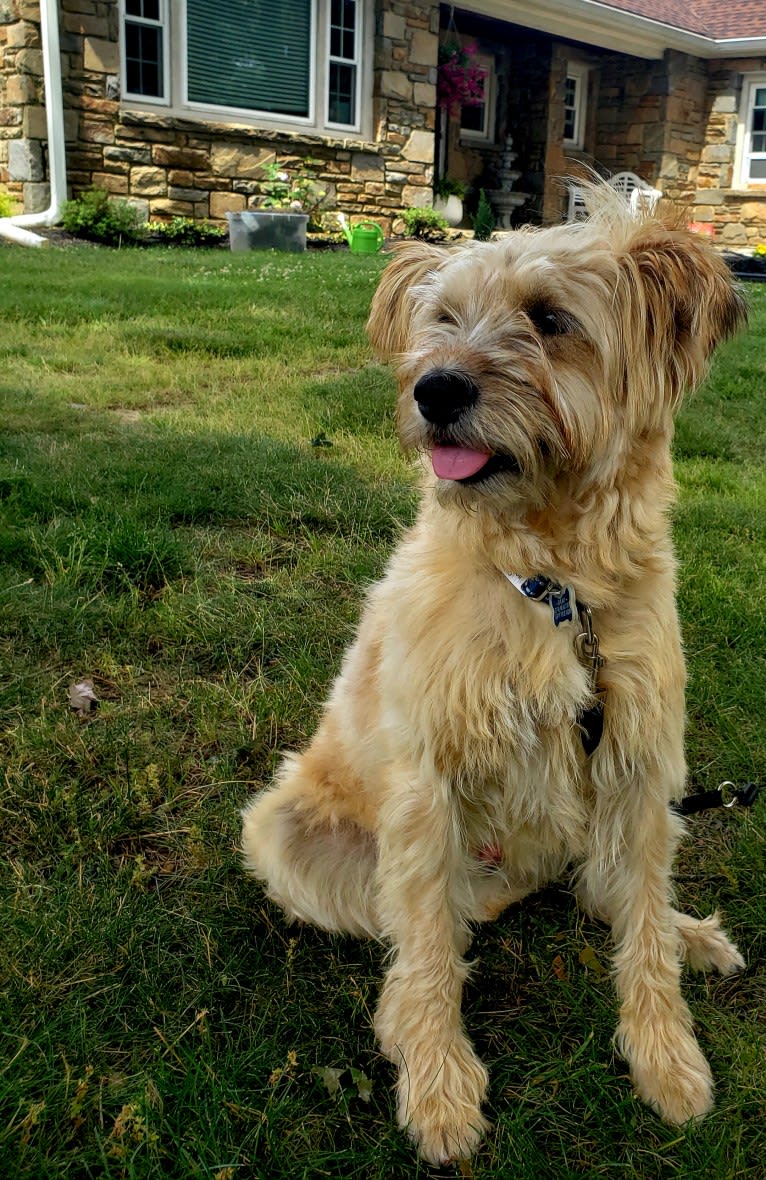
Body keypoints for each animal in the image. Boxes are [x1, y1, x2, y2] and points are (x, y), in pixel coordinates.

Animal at [243, 188, 745, 1165]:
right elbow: (428, 950)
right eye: (441, 320)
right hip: (290, 832)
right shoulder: (427, 784)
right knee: (417, 930)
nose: (434, 389)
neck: (554, 586)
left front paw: (666, 1057)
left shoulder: (638, 769)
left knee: (607, 890)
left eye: (549, 320)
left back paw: (684, 932)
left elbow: (642, 935)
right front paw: (439, 1088)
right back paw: (407, 1022)